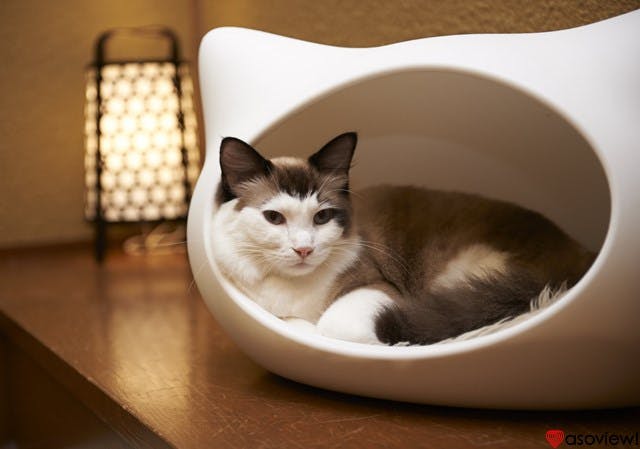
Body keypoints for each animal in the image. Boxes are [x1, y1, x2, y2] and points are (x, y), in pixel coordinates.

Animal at [211, 132, 595, 345]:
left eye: (322, 217)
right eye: (274, 218)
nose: (304, 249)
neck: (294, 289)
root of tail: (578, 254)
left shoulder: (376, 289)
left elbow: (326, 326)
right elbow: (293, 322)